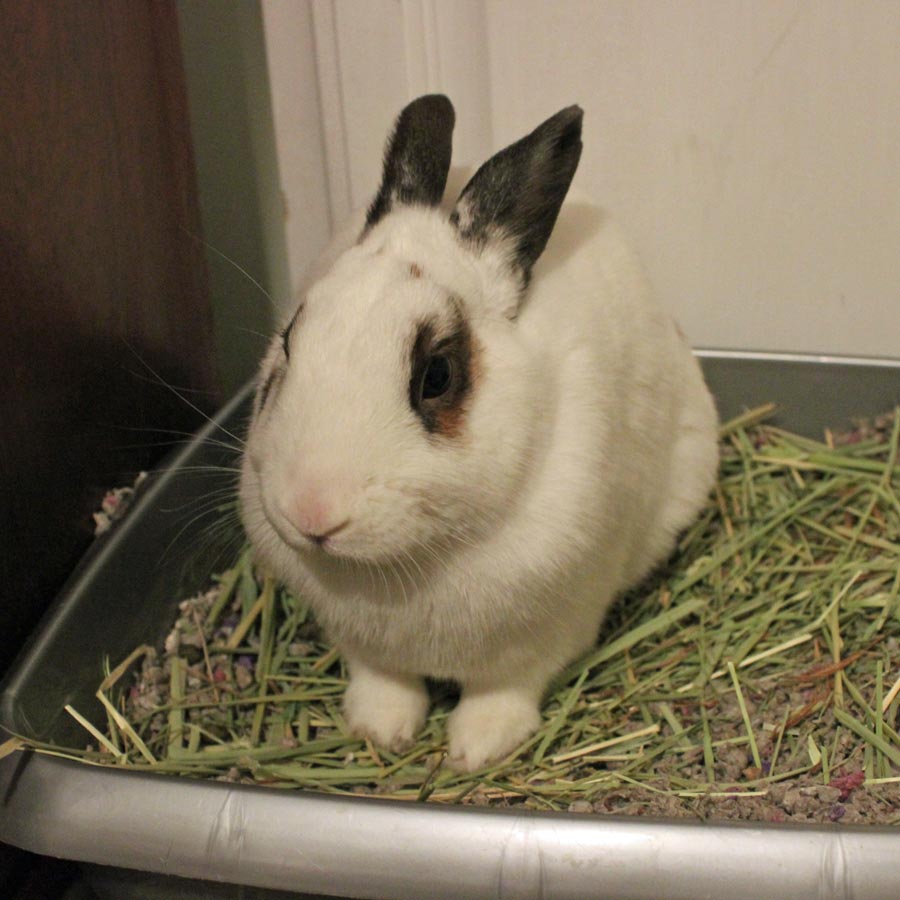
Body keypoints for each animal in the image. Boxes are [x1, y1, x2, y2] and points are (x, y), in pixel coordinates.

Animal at [239, 98, 716, 772]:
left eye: (437, 376)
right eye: (287, 341)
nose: (312, 511)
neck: (411, 561)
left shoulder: (544, 638)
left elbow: (503, 691)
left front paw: (475, 750)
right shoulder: (365, 647)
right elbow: (384, 681)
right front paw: (379, 730)